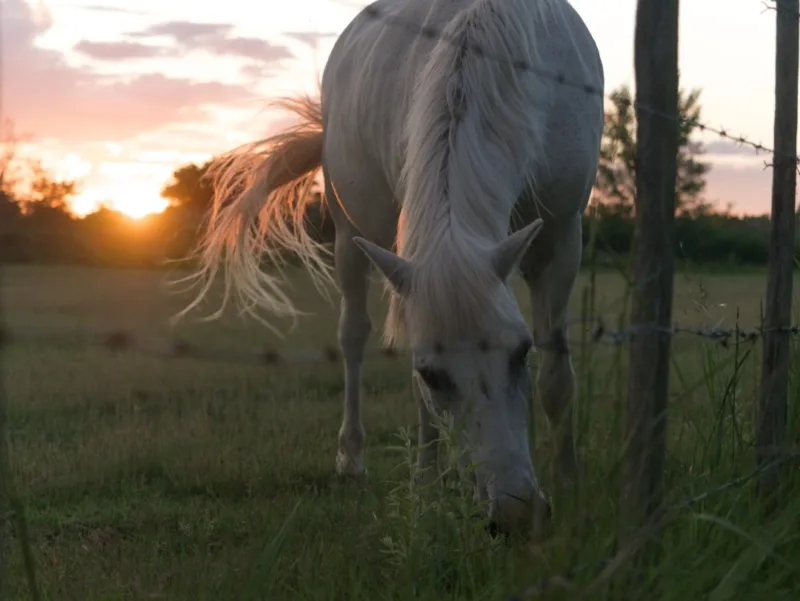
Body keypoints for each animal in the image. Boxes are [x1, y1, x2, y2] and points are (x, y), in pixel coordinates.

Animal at [180, 0, 604, 536]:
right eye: (432, 374)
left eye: (519, 352)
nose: (513, 515)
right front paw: (425, 487)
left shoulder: (562, 239)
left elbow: (557, 375)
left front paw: (569, 478)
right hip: (347, 236)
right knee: (353, 336)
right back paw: (353, 459)